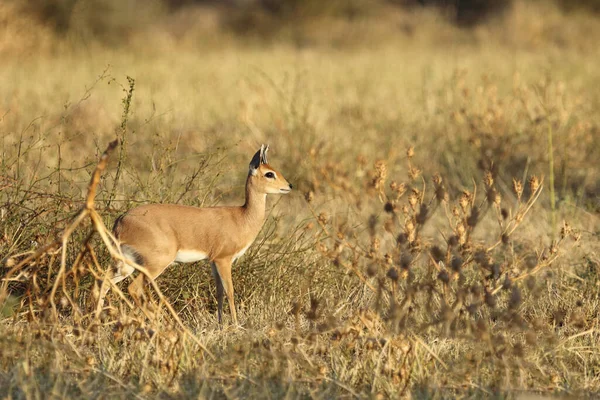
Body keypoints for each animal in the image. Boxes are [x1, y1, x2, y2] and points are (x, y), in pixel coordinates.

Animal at [98, 145, 290, 326]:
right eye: (269, 173)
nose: (289, 186)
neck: (242, 217)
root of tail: (122, 220)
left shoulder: (213, 262)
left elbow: (219, 292)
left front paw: (221, 324)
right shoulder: (223, 259)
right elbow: (230, 291)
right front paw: (236, 325)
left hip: (126, 263)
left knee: (104, 281)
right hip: (154, 265)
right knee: (133, 288)